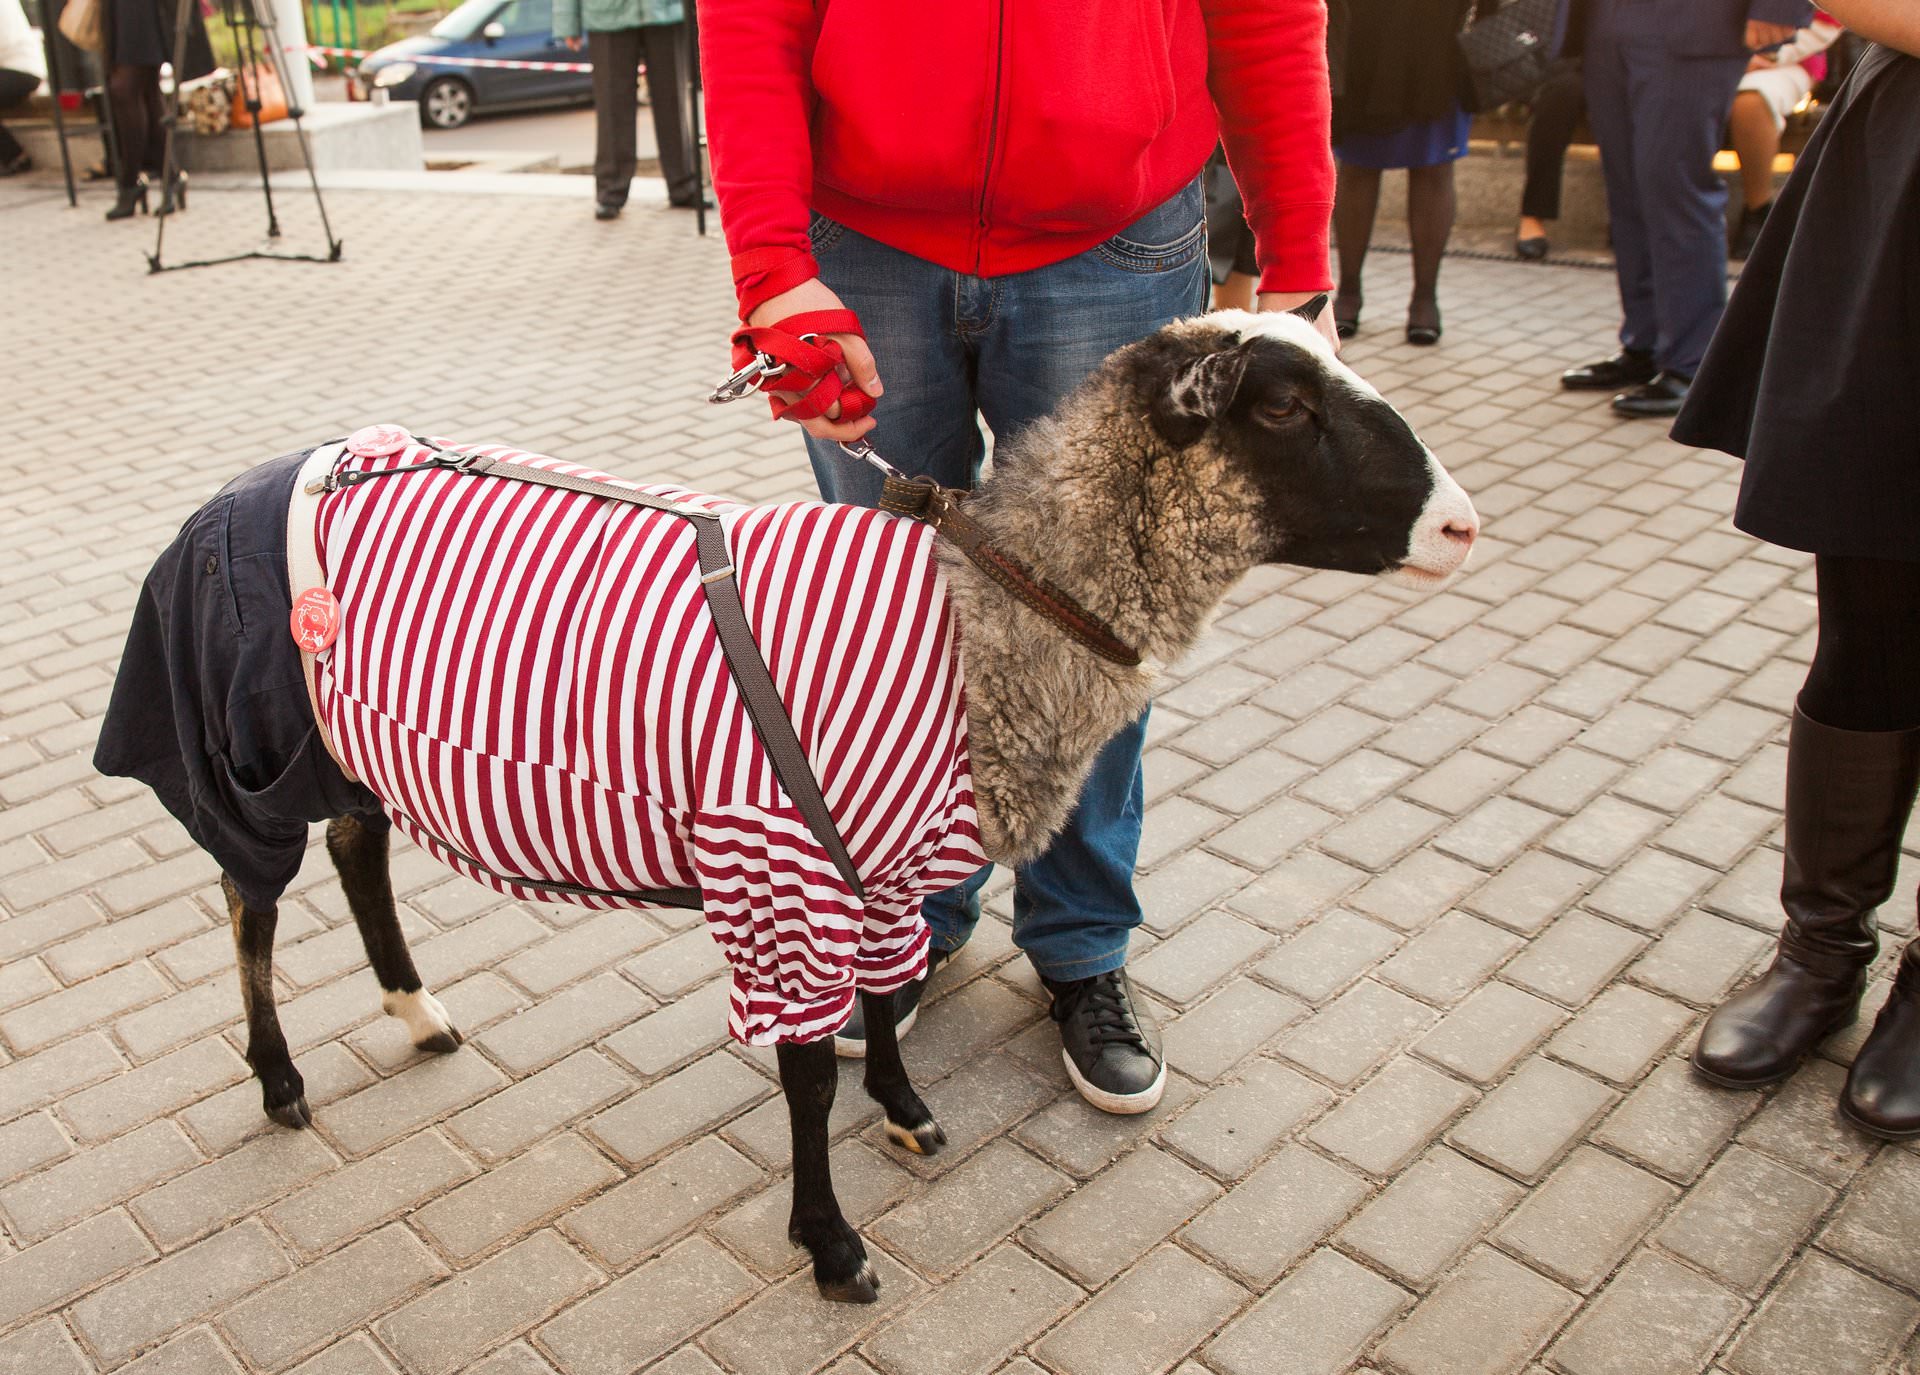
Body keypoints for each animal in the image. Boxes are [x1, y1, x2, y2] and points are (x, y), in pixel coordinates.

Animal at [93, 303, 1477, 1305]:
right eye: (1284, 406)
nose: (1464, 527)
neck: (982, 611)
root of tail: (248, 481)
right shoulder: (779, 871)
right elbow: (805, 1070)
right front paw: (833, 1247)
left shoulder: (875, 869)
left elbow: (881, 1000)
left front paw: (908, 1113)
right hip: (249, 738)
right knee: (252, 900)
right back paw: (280, 1080)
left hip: (344, 737)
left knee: (357, 844)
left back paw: (418, 1011)